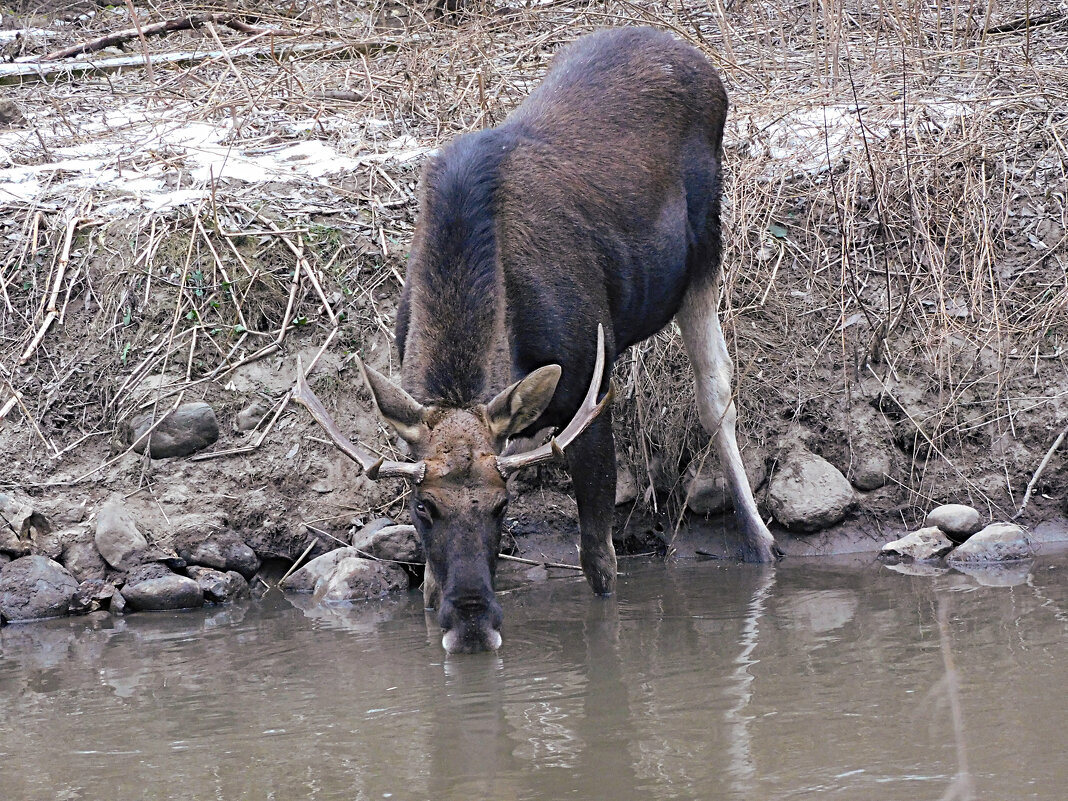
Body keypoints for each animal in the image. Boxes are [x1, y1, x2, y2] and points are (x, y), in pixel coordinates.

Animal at [292, 28, 777, 653]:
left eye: (504, 505)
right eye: (423, 507)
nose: (472, 624)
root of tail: (691, 56)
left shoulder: (589, 396)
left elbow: (600, 563)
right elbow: (426, 588)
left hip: (705, 249)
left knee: (716, 389)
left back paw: (762, 544)